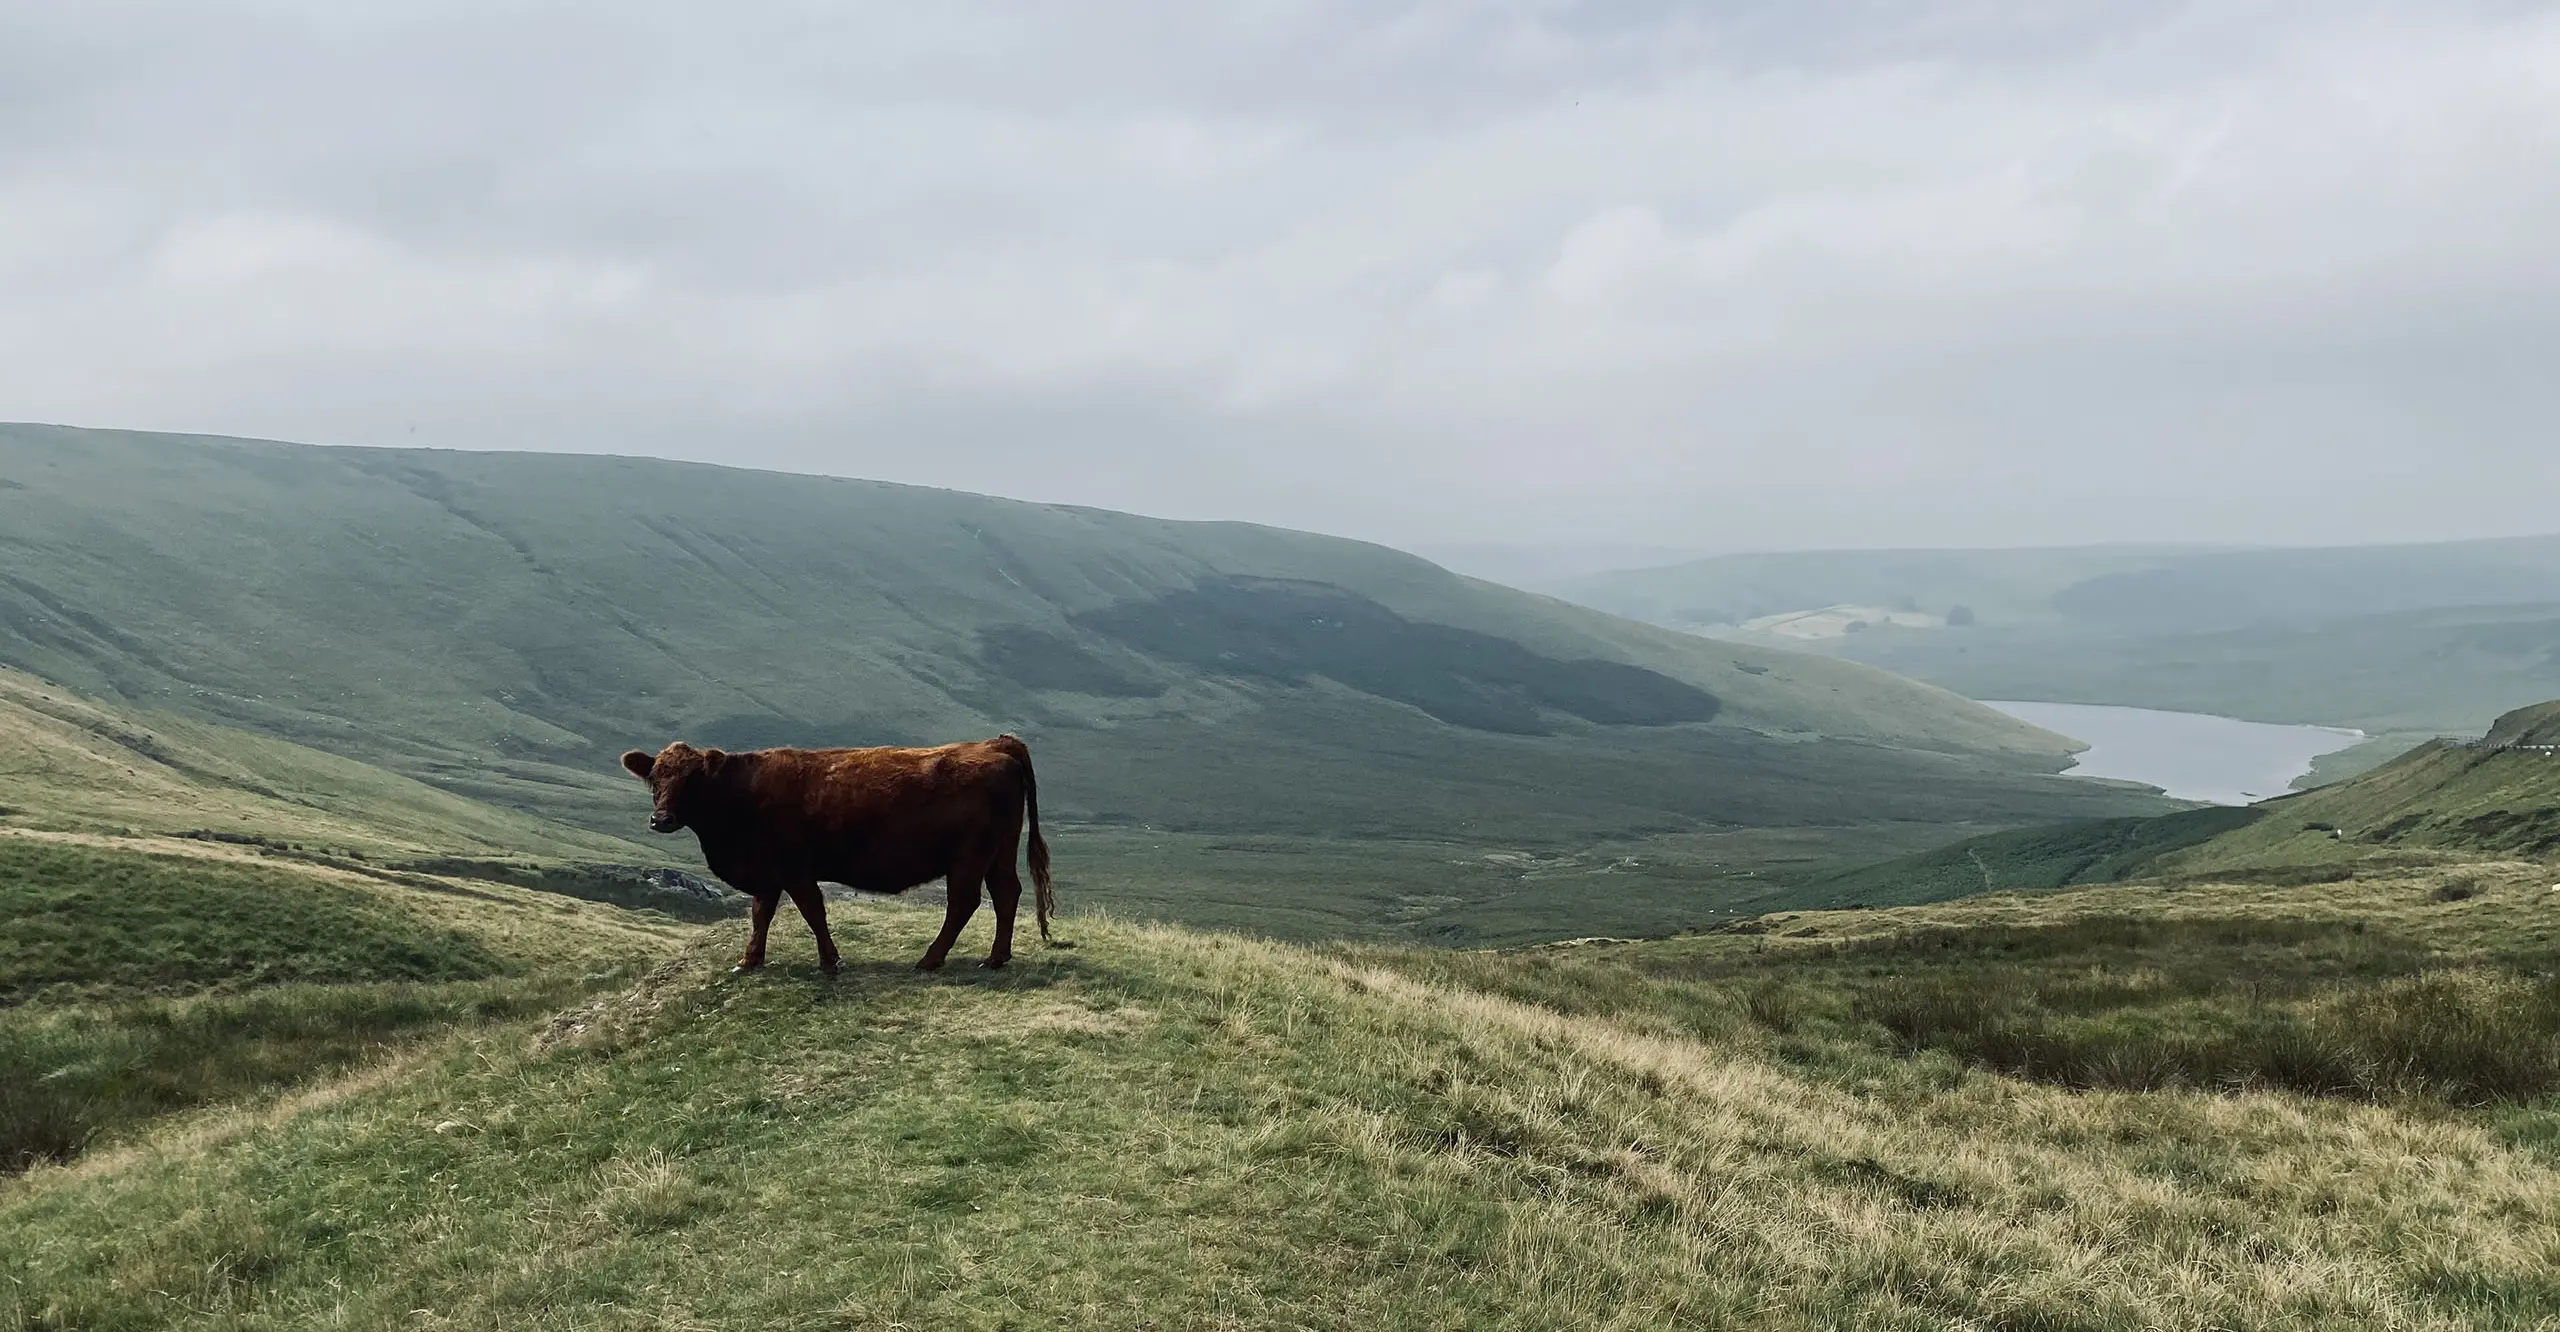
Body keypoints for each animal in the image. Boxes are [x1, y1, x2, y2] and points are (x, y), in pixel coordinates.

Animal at [616, 732, 1049, 973]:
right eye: (654, 778)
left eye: (692, 779)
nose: (661, 819)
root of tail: (996, 744)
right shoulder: (767, 871)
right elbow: (760, 914)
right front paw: (750, 960)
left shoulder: (794, 867)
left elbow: (812, 911)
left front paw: (830, 961)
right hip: (998, 851)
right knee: (1006, 894)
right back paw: (996, 957)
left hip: (969, 855)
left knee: (964, 902)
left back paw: (930, 959)